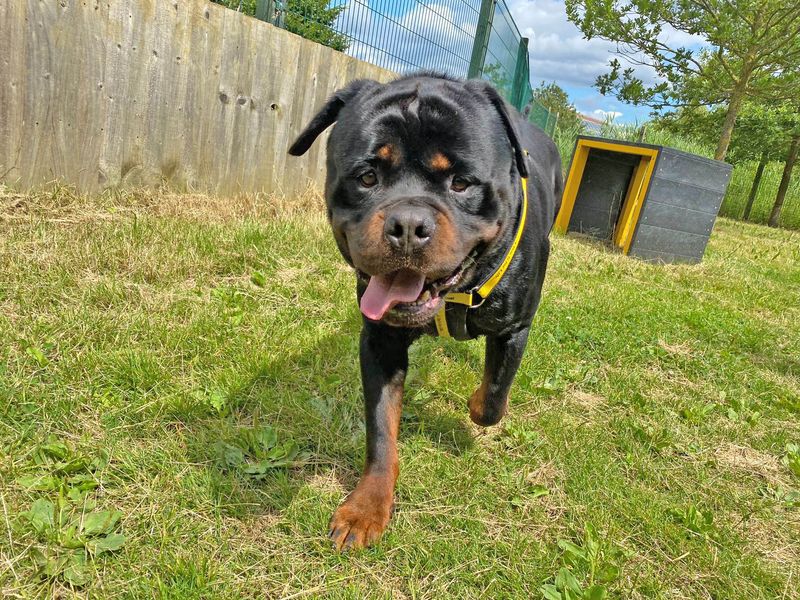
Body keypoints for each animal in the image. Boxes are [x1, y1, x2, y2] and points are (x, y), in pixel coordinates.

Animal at [290, 74, 564, 548]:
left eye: (462, 182)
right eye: (367, 177)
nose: (407, 226)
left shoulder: (515, 328)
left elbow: (493, 399)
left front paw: (475, 402)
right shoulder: (380, 341)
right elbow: (381, 430)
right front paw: (366, 508)